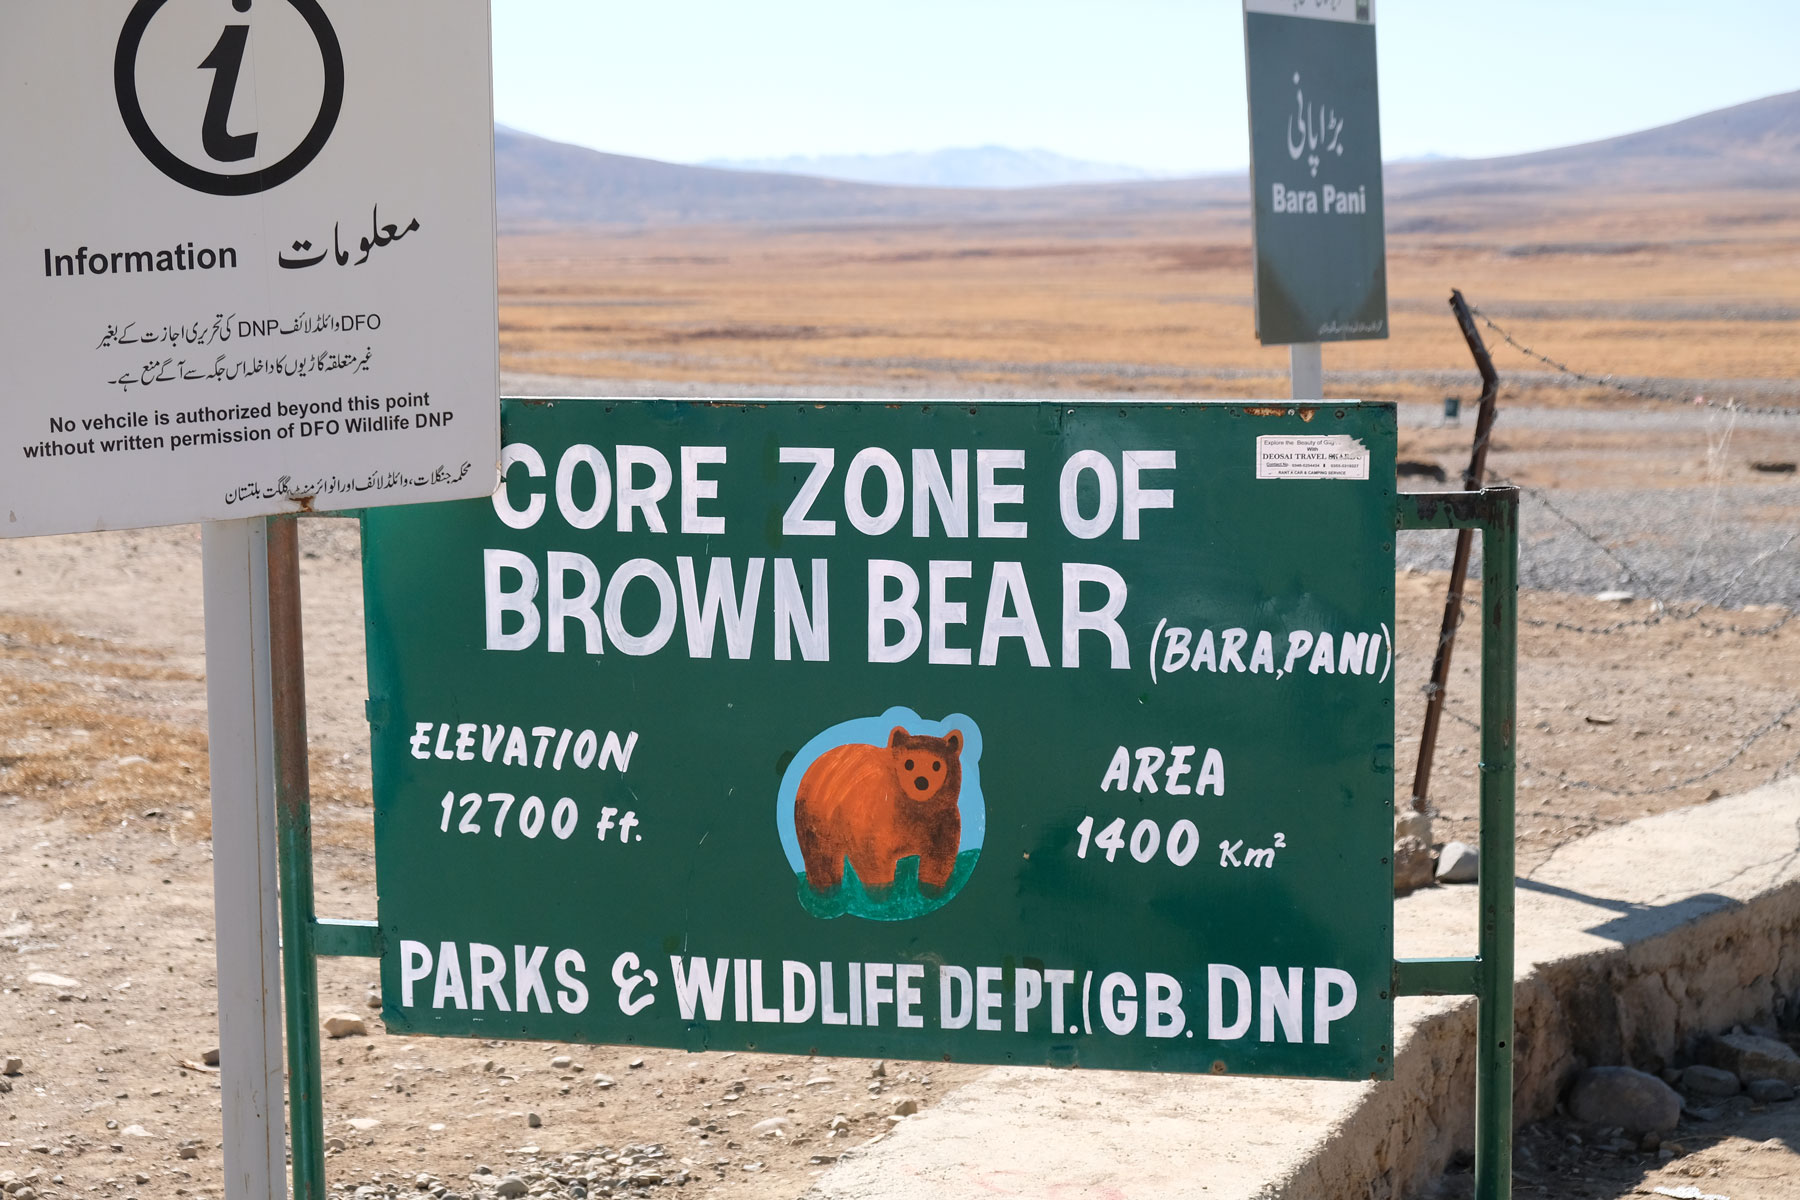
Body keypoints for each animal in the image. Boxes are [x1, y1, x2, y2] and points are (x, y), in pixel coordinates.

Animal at [795, 723, 964, 892]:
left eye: (936, 765)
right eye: (909, 763)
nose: (921, 782)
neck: (914, 807)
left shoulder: (941, 818)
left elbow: (939, 859)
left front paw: (929, 890)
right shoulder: (874, 817)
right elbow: (872, 858)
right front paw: (882, 891)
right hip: (817, 816)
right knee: (821, 856)